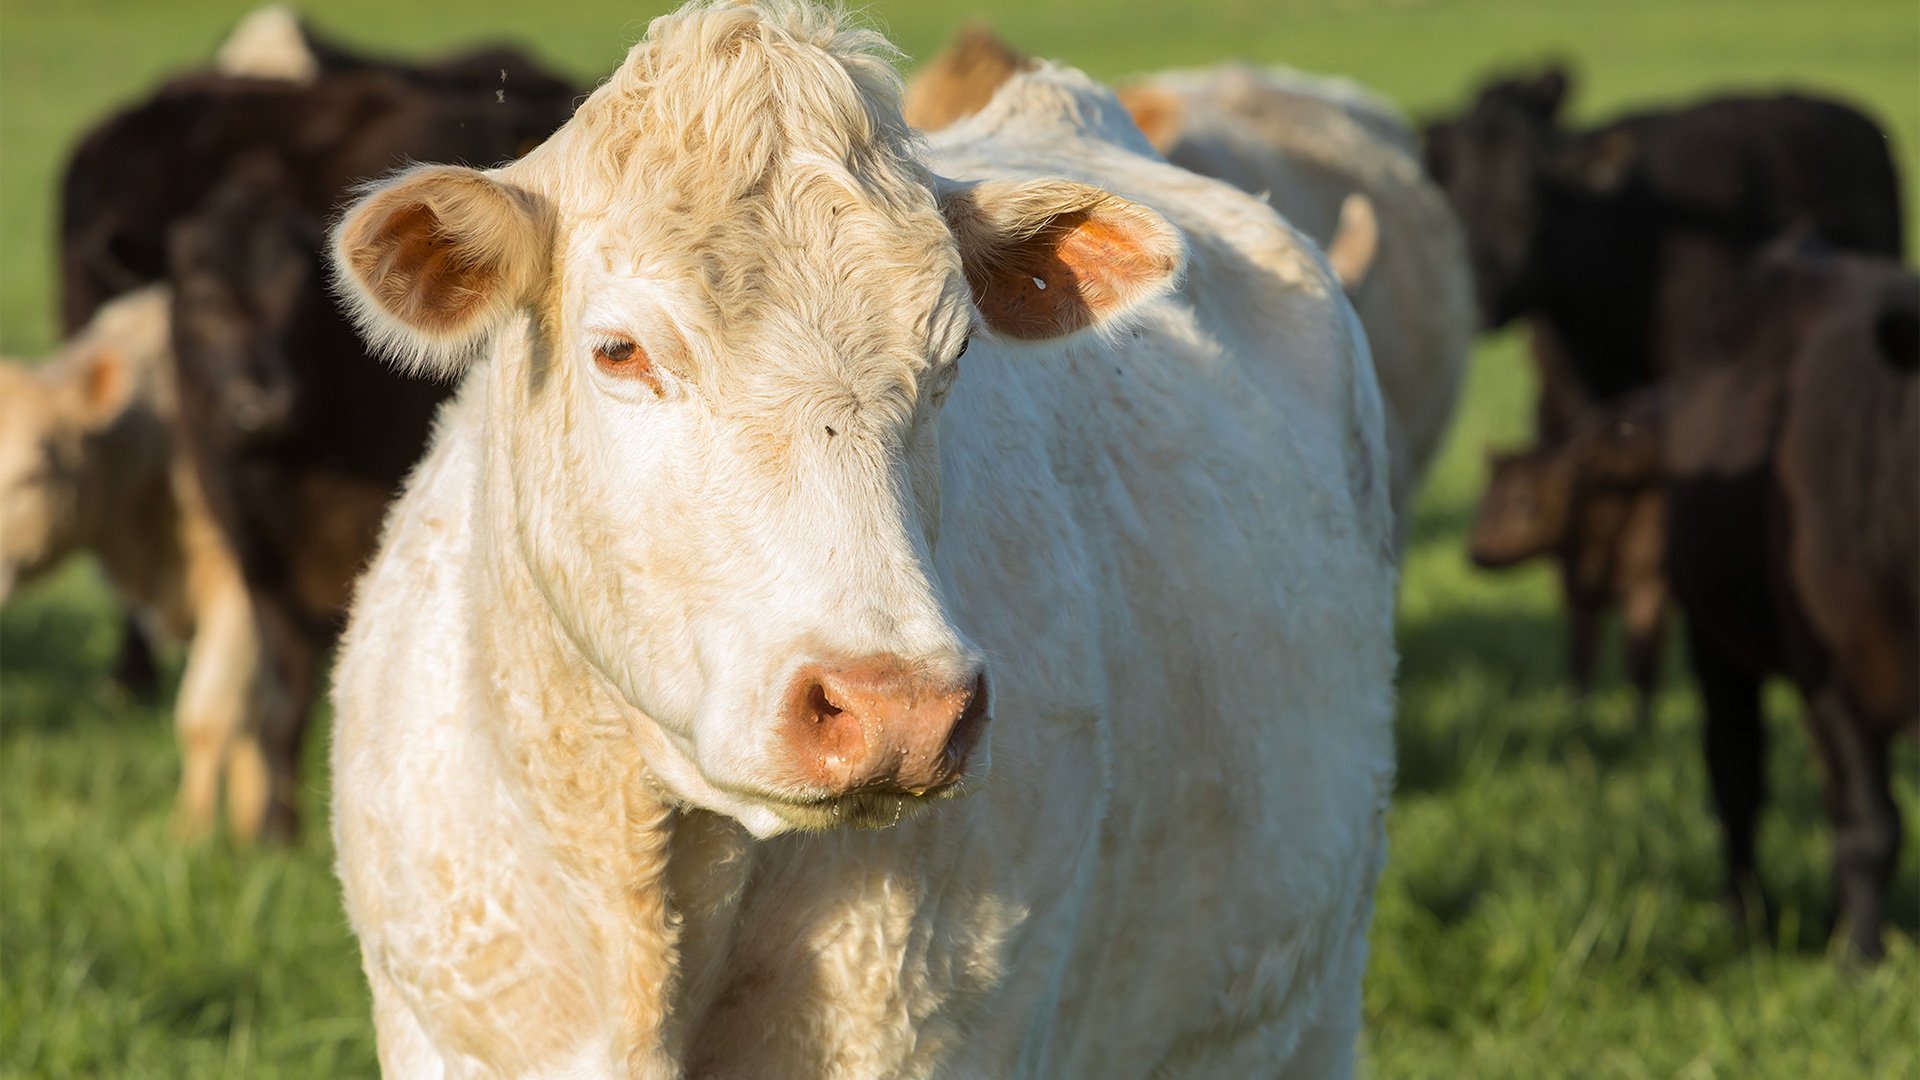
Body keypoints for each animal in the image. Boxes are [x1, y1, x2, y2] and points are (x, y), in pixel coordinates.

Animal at [0, 287, 267, 841]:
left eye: (33, 476)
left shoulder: (243, 586)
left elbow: (208, 716)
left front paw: (192, 835)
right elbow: (251, 716)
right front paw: (250, 830)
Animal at [1469, 392, 1668, 727]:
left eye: (1525, 502)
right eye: (1485, 499)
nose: (1477, 553)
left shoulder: (1649, 585)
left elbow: (1641, 659)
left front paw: (1642, 728)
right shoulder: (1577, 591)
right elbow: (1581, 656)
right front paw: (1576, 719)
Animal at [1663, 236, 1918, 960]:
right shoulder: (1831, 676)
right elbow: (1871, 827)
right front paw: (1860, 961)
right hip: (1712, 635)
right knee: (1735, 770)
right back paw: (1744, 914)